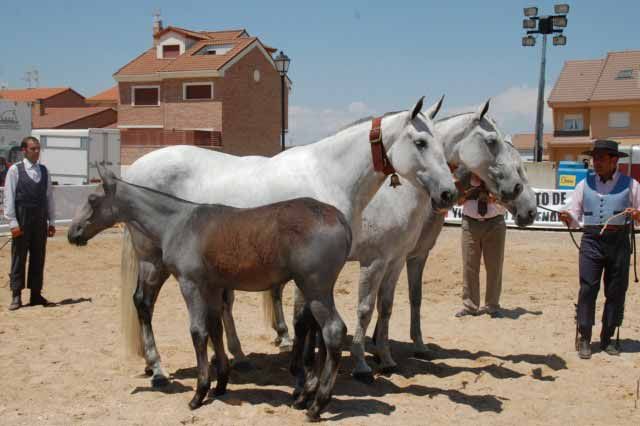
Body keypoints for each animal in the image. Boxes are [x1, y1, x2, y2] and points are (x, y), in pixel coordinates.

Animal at [120, 96, 458, 386]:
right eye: (420, 142)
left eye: (441, 143)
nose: (448, 193)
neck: (327, 176)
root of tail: (134, 171)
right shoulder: (335, 264)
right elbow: (310, 317)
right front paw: (324, 367)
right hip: (153, 259)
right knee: (143, 303)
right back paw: (158, 370)